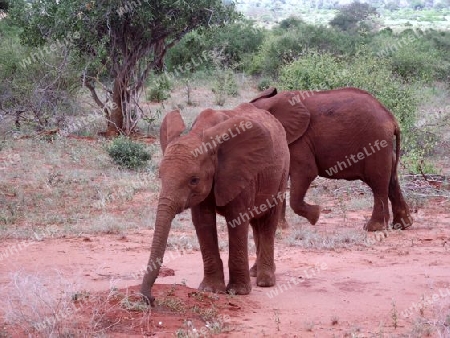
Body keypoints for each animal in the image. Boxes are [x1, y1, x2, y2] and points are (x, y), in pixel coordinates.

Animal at [140, 102, 292, 304]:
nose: (151, 299)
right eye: (160, 176)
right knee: (256, 223)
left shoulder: (239, 172)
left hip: (282, 171)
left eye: (194, 180)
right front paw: (211, 289)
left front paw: (238, 292)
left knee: (268, 221)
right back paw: (255, 273)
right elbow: (203, 222)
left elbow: (237, 221)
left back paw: (265, 281)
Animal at [251, 86, 414, 232]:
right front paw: (280, 229)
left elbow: (306, 172)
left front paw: (316, 216)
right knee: (392, 180)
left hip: (376, 141)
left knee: (378, 182)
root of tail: (392, 119)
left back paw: (373, 228)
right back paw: (403, 225)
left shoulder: (299, 142)